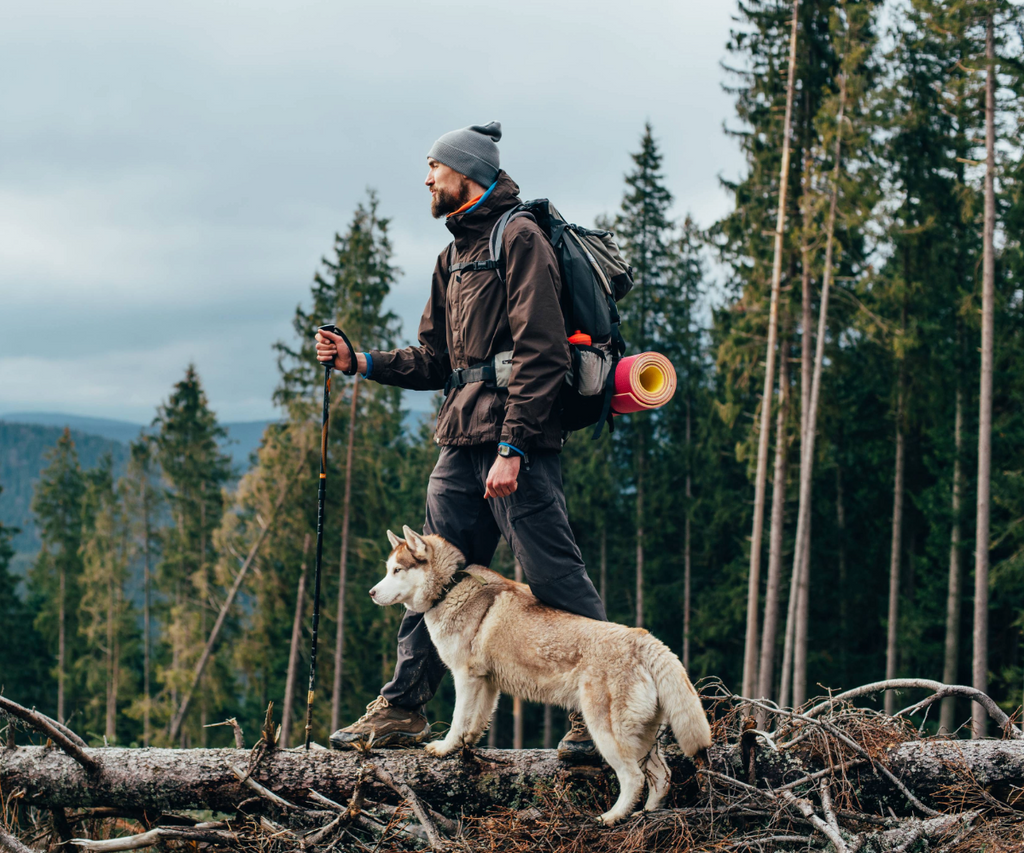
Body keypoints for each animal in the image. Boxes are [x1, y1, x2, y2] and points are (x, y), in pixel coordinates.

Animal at [368, 522, 712, 823]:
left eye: (397, 570)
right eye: (387, 569)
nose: (371, 592)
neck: (449, 587)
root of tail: (645, 639)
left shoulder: (465, 677)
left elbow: (457, 721)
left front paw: (445, 748)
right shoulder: (486, 683)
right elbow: (476, 722)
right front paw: (469, 747)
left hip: (607, 734)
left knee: (634, 778)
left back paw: (612, 817)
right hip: (642, 739)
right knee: (662, 776)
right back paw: (646, 815)